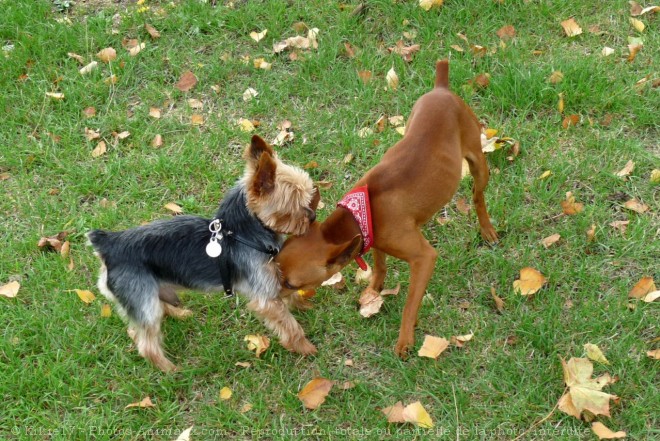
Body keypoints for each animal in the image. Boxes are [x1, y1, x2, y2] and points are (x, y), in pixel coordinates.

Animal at [276, 60, 498, 356]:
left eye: (292, 284)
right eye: (274, 265)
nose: (269, 297)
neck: (356, 215)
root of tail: (441, 88)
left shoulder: (424, 258)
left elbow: (410, 304)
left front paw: (405, 339)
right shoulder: (372, 238)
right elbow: (380, 266)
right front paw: (373, 291)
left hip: (478, 162)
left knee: (478, 195)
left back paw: (487, 229)